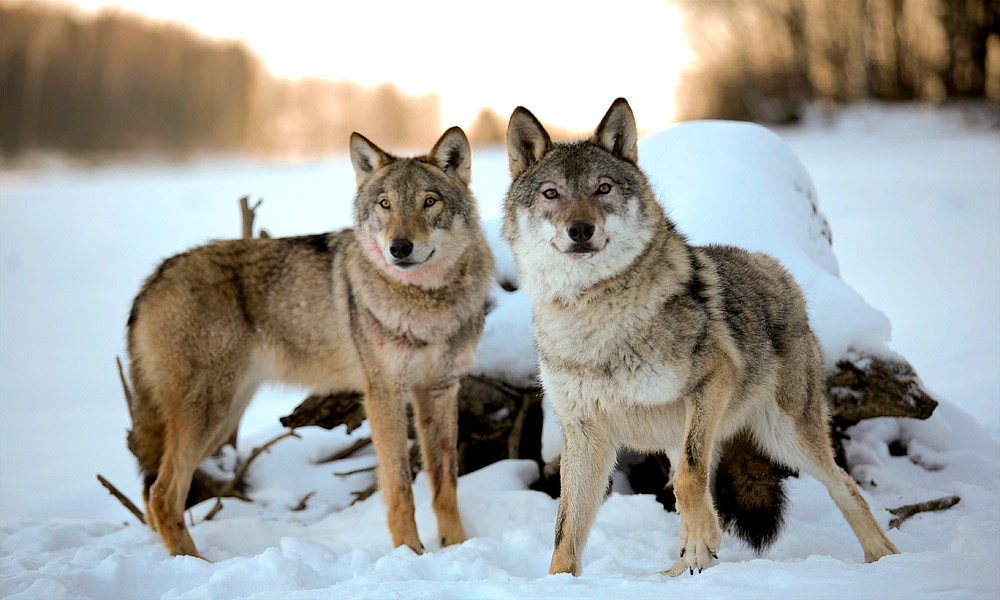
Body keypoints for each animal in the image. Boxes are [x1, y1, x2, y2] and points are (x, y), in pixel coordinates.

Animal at [126, 127, 493, 558]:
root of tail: (154, 277)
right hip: (208, 414)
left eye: (429, 201)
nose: (399, 248)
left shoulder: (440, 390)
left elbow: (445, 483)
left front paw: (459, 547)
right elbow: (400, 485)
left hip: (224, 416)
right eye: (385, 204)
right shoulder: (384, 393)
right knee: (162, 495)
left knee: (154, 496)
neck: (428, 307)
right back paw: (199, 564)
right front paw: (410, 554)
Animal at [502, 98, 899, 576]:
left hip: (784, 437)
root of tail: (779, 270)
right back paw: (683, 570)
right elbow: (566, 528)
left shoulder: (711, 381)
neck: (592, 315)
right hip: (689, 435)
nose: (580, 229)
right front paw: (559, 582)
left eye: (603, 188)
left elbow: (691, 479)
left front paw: (702, 540)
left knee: (844, 485)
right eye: (551, 194)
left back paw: (885, 557)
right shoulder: (585, 435)